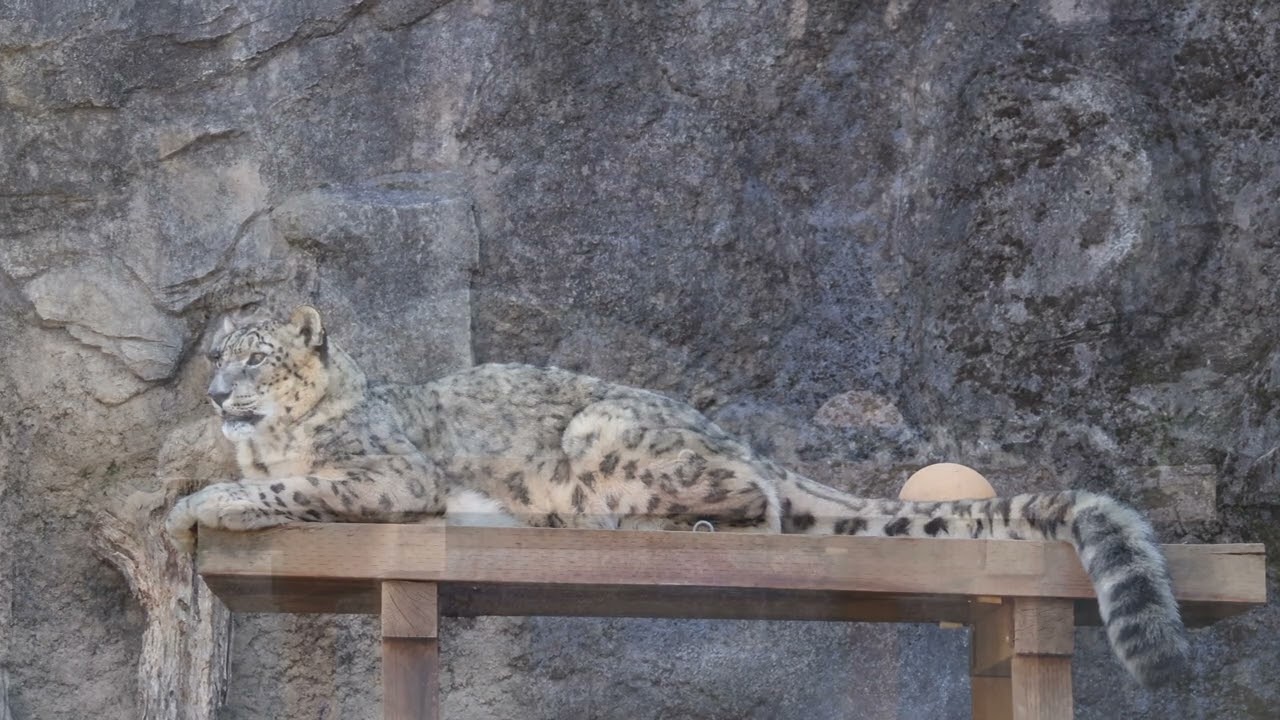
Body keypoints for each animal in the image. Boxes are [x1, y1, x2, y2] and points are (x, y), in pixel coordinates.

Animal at [166, 305, 1190, 686]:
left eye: (255, 356)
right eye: (215, 353)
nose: (214, 393)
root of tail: (728, 433)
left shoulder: (386, 473)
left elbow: (300, 482)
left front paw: (197, 504)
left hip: (608, 434)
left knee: (761, 504)